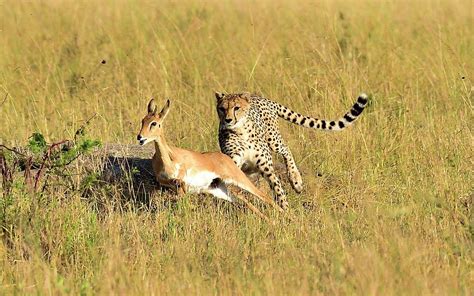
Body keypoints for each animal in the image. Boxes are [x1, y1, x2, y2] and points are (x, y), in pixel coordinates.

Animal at [135, 98, 280, 221]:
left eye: (154, 123)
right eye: (143, 121)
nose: (140, 137)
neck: (167, 160)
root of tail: (224, 157)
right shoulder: (165, 182)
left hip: (240, 180)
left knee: (267, 197)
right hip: (222, 191)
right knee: (248, 204)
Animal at [217, 91, 368, 209]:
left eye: (236, 108)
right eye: (222, 109)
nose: (228, 120)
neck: (240, 131)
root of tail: (261, 98)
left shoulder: (267, 168)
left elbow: (278, 190)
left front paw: (285, 211)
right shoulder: (233, 162)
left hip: (273, 139)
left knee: (286, 149)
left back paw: (295, 179)